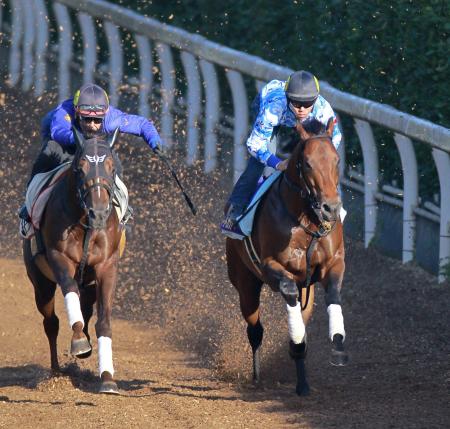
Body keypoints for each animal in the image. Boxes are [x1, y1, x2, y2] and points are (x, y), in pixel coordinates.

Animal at [23, 128, 123, 394]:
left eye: (112, 167)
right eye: (80, 167)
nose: (99, 212)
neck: (86, 223)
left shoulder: (106, 266)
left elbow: (103, 321)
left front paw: (107, 377)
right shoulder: (59, 257)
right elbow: (69, 291)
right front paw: (78, 341)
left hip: (87, 282)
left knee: (85, 308)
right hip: (40, 281)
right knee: (51, 322)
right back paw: (57, 370)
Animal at [225, 117, 348, 394]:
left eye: (336, 160)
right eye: (308, 163)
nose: (331, 208)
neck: (307, 222)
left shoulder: (334, 263)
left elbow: (334, 294)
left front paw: (337, 342)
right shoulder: (271, 266)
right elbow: (288, 289)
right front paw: (297, 336)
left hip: (307, 291)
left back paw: (302, 383)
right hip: (244, 282)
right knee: (255, 330)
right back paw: (258, 376)